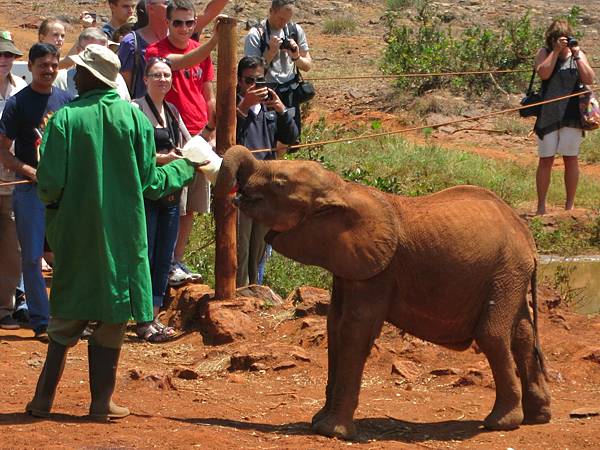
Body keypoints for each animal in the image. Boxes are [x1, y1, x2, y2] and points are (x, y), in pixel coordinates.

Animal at [217, 147, 552, 440]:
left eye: (279, 183)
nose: (237, 194)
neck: (343, 188)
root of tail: (527, 235)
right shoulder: (350, 265)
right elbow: (335, 325)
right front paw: (318, 423)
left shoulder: (378, 272)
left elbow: (354, 330)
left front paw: (331, 432)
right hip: (510, 275)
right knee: (523, 334)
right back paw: (539, 417)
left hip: (505, 271)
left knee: (493, 335)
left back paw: (501, 423)